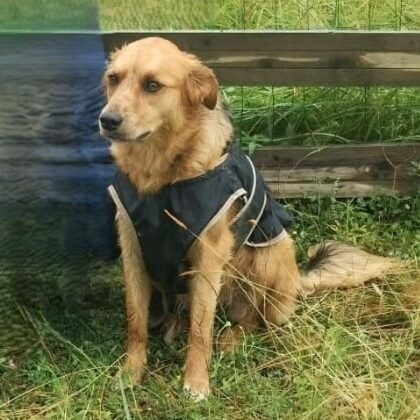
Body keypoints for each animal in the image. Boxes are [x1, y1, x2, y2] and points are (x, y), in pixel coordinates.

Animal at [100, 37, 396, 400]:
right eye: (113, 79)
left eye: (152, 85)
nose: (107, 120)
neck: (164, 178)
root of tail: (300, 280)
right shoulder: (133, 249)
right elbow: (136, 321)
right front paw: (131, 372)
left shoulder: (209, 255)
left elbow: (201, 328)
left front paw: (196, 382)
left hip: (271, 254)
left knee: (256, 321)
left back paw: (232, 338)